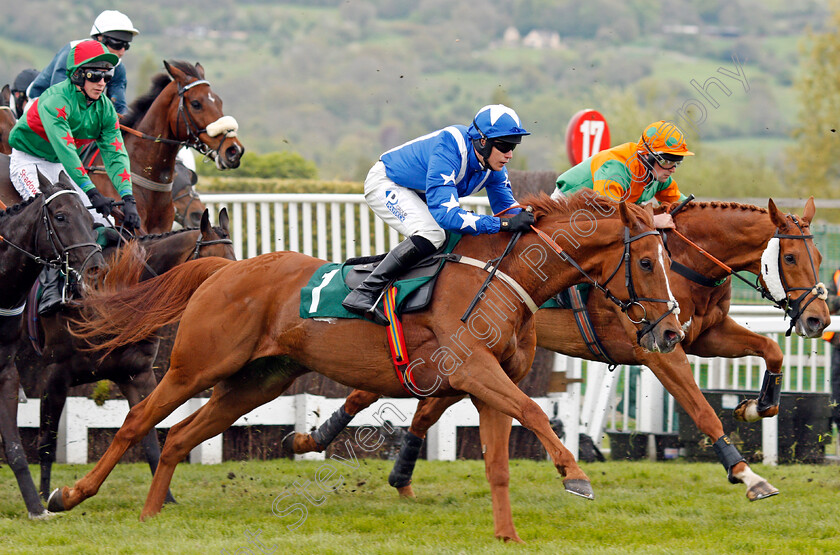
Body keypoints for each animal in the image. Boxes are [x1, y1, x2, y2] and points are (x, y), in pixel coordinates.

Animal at [0, 172, 106, 520]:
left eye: (89, 217)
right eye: (60, 217)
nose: (96, 268)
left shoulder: (6, 371)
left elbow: (15, 447)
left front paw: (37, 508)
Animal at [49, 193, 684, 540]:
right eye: (647, 262)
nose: (671, 331)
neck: (504, 275)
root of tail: (224, 270)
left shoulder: (485, 384)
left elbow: (499, 462)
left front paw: (508, 535)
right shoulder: (473, 370)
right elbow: (534, 410)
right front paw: (575, 475)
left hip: (257, 381)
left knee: (180, 436)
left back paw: (151, 514)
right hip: (195, 368)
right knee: (139, 423)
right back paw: (69, 496)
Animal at [284, 199, 828, 504]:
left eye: (819, 255)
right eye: (791, 256)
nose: (819, 319)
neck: (683, 261)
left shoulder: (697, 335)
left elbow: (770, 350)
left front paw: (760, 405)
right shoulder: (659, 349)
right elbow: (700, 409)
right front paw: (746, 473)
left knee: (425, 406)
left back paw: (389, 469)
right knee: (379, 395)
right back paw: (317, 439)